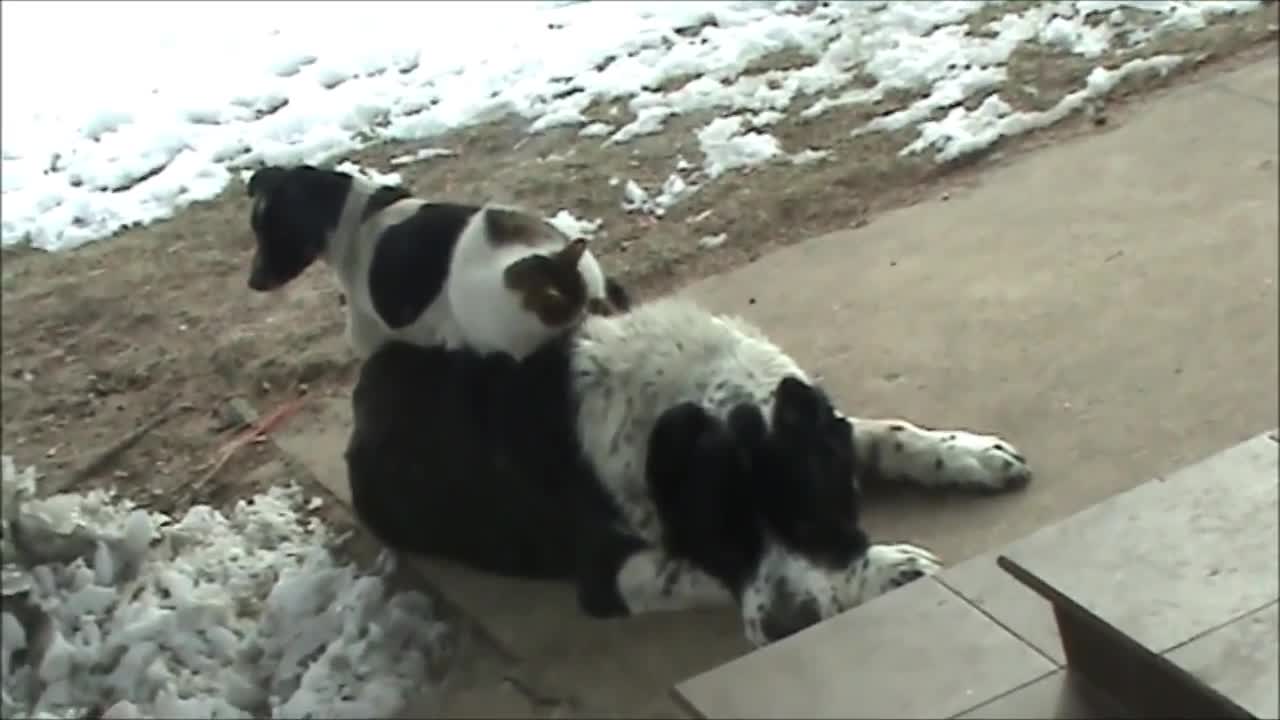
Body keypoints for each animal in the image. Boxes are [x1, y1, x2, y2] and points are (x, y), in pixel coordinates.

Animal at [343, 294, 1029, 640]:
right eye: (721, 538)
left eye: (808, 517)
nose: (788, 628)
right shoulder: (606, 573)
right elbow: (688, 570)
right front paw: (885, 567)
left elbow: (884, 434)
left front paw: (966, 454)